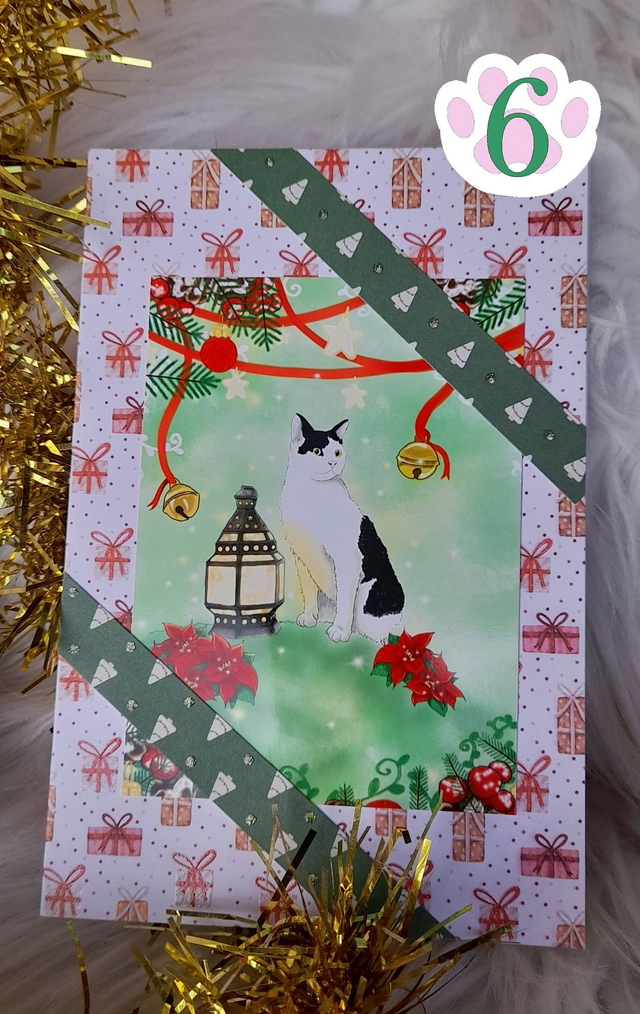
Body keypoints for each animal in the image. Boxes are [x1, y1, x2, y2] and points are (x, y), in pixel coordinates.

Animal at [280, 414, 405, 643]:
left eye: (337, 452)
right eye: (317, 451)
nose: (333, 462)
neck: (310, 494)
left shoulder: (347, 560)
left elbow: (346, 601)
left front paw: (339, 630)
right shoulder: (301, 557)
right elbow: (309, 591)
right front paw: (309, 617)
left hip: (371, 602)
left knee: (381, 634)